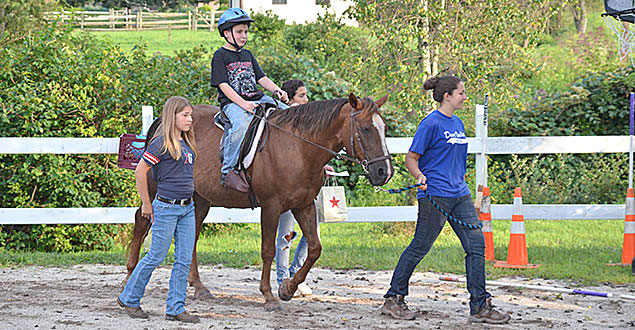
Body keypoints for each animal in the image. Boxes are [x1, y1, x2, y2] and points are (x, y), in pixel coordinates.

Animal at [124, 93, 392, 312]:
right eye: (366, 129)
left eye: (384, 128)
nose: (384, 172)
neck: (298, 147)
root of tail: (162, 122)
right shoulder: (271, 207)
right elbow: (268, 250)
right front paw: (269, 296)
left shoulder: (303, 205)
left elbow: (315, 248)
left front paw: (288, 289)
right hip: (155, 188)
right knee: (141, 220)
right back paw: (130, 275)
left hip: (200, 200)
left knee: (192, 234)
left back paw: (198, 286)